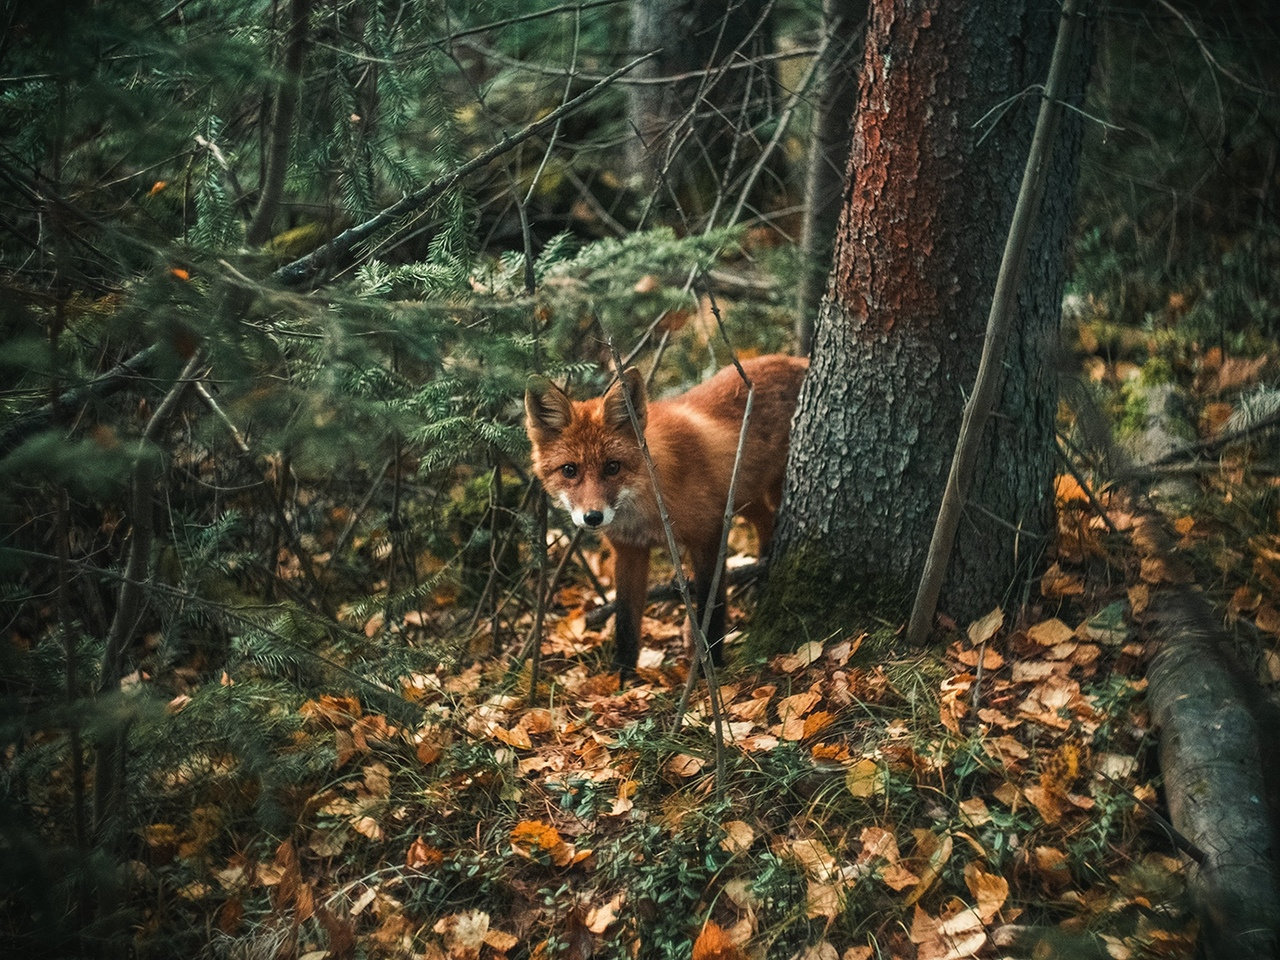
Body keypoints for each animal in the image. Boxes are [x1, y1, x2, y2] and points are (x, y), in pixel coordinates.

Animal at [527, 353, 808, 675]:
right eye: (569, 470)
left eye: (612, 467)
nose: (593, 517)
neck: (650, 500)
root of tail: (798, 359)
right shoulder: (630, 550)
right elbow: (625, 617)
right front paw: (622, 672)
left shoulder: (709, 534)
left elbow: (711, 604)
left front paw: (710, 664)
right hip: (744, 499)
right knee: (767, 522)